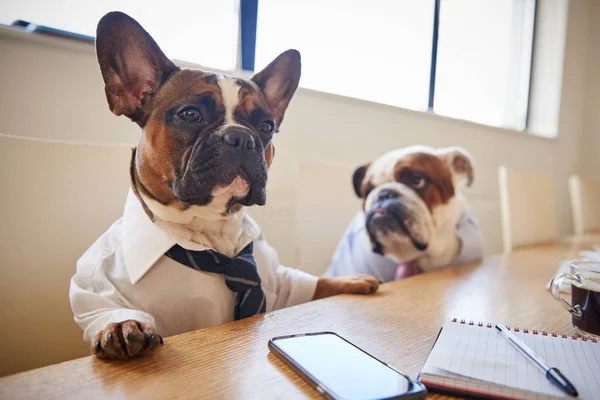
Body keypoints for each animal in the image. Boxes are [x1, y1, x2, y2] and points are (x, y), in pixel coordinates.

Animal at [70, 12, 378, 360]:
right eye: (191, 114)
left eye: (266, 126)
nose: (242, 137)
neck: (211, 231)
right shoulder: (92, 286)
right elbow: (103, 305)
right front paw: (123, 323)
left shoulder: (281, 283)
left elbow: (312, 283)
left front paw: (351, 280)